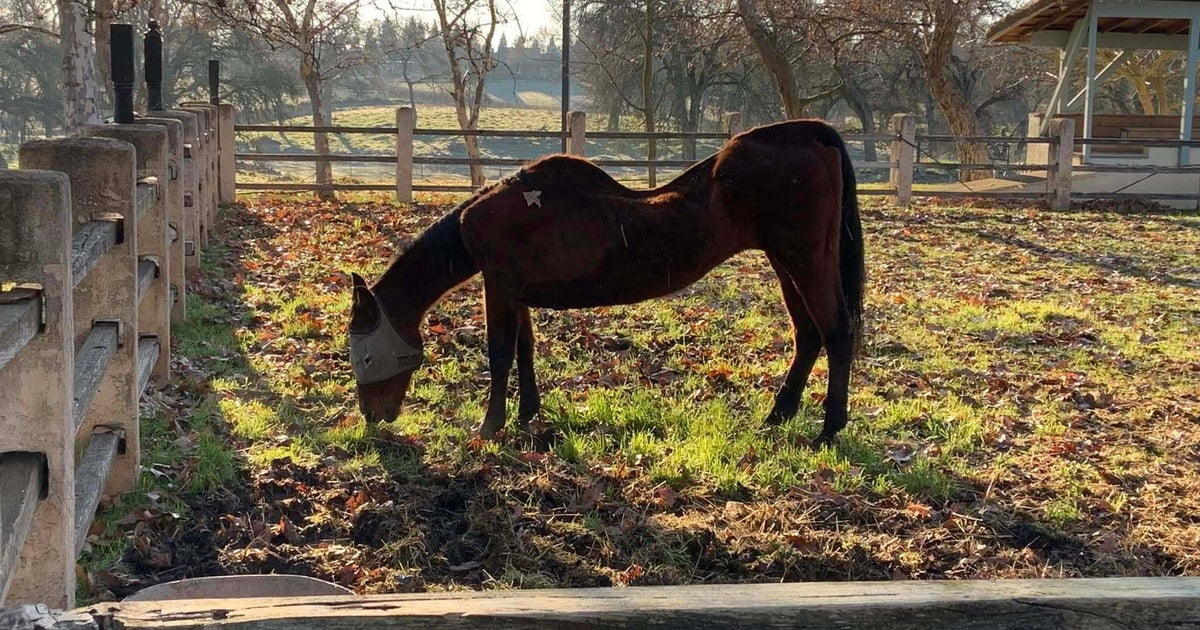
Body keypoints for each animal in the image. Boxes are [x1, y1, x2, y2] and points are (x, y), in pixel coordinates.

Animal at [348, 120, 864, 444]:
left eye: (366, 355)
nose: (373, 417)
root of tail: (810, 134)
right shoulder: (516, 292)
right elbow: (524, 349)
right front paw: (527, 414)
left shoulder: (498, 286)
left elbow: (499, 355)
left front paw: (490, 427)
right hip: (784, 262)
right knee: (808, 335)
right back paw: (778, 416)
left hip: (805, 260)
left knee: (837, 332)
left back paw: (828, 429)